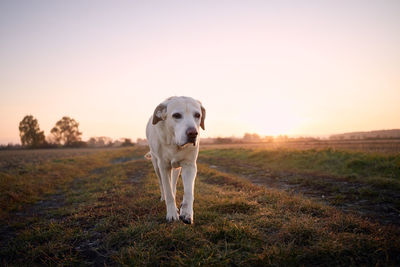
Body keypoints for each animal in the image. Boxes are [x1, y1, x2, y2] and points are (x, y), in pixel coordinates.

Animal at [145, 96, 206, 224]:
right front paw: (172, 214)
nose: (193, 133)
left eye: (197, 115)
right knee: (162, 184)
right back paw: (163, 197)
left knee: (173, 183)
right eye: (176, 115)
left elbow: (188, 192)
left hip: (176, 168)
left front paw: (187, 213)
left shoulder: (189, 165)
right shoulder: (163, 166)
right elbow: (168, 192)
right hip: (156, 165)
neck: (174, 143)